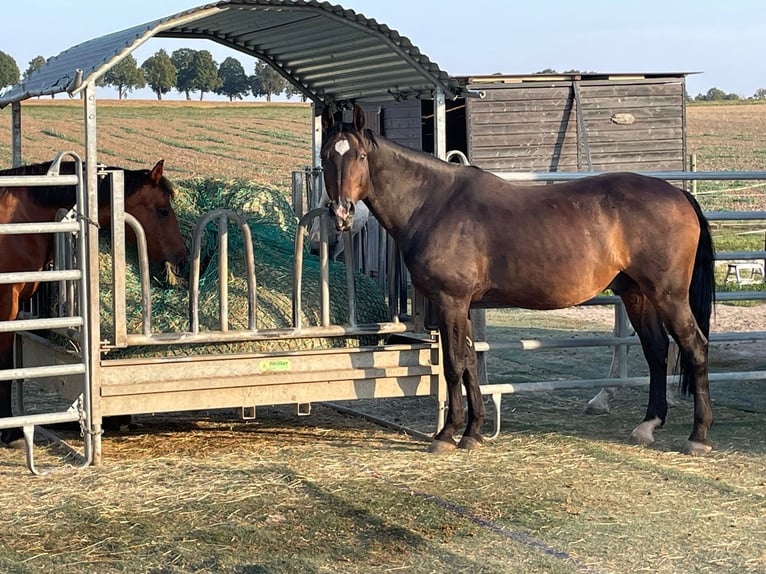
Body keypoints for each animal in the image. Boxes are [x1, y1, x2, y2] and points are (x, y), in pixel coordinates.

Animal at [320, 106, 716, 460]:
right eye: (326, 157)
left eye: (359, 155)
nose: (341, 213)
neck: (432, 202)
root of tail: (679, 194)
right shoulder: (462, 305)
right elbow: (469, 362)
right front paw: (473, 432)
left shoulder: (450, 300)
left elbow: (453, 364)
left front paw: (448, 434)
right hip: (637, 294)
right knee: (656, 350)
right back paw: (648, 425)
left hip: (669, 295)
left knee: (694, 347)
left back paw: (698, 436)